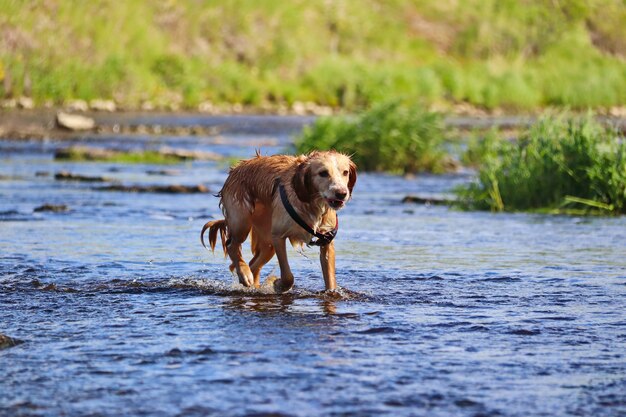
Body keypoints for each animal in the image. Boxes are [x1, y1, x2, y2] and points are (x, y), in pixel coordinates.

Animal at [201, 150, 354, 292]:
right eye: (323, 173)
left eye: (345, 172)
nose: (342, 193)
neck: (311, 204)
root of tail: (236, 168)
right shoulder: (278, 236)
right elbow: (288, 276)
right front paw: (278, 284)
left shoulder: (326, 240)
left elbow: (330, 280)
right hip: (241, 223)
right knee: (231, 245)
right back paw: (244, 274)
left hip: (267, 242)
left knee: (253, 265)